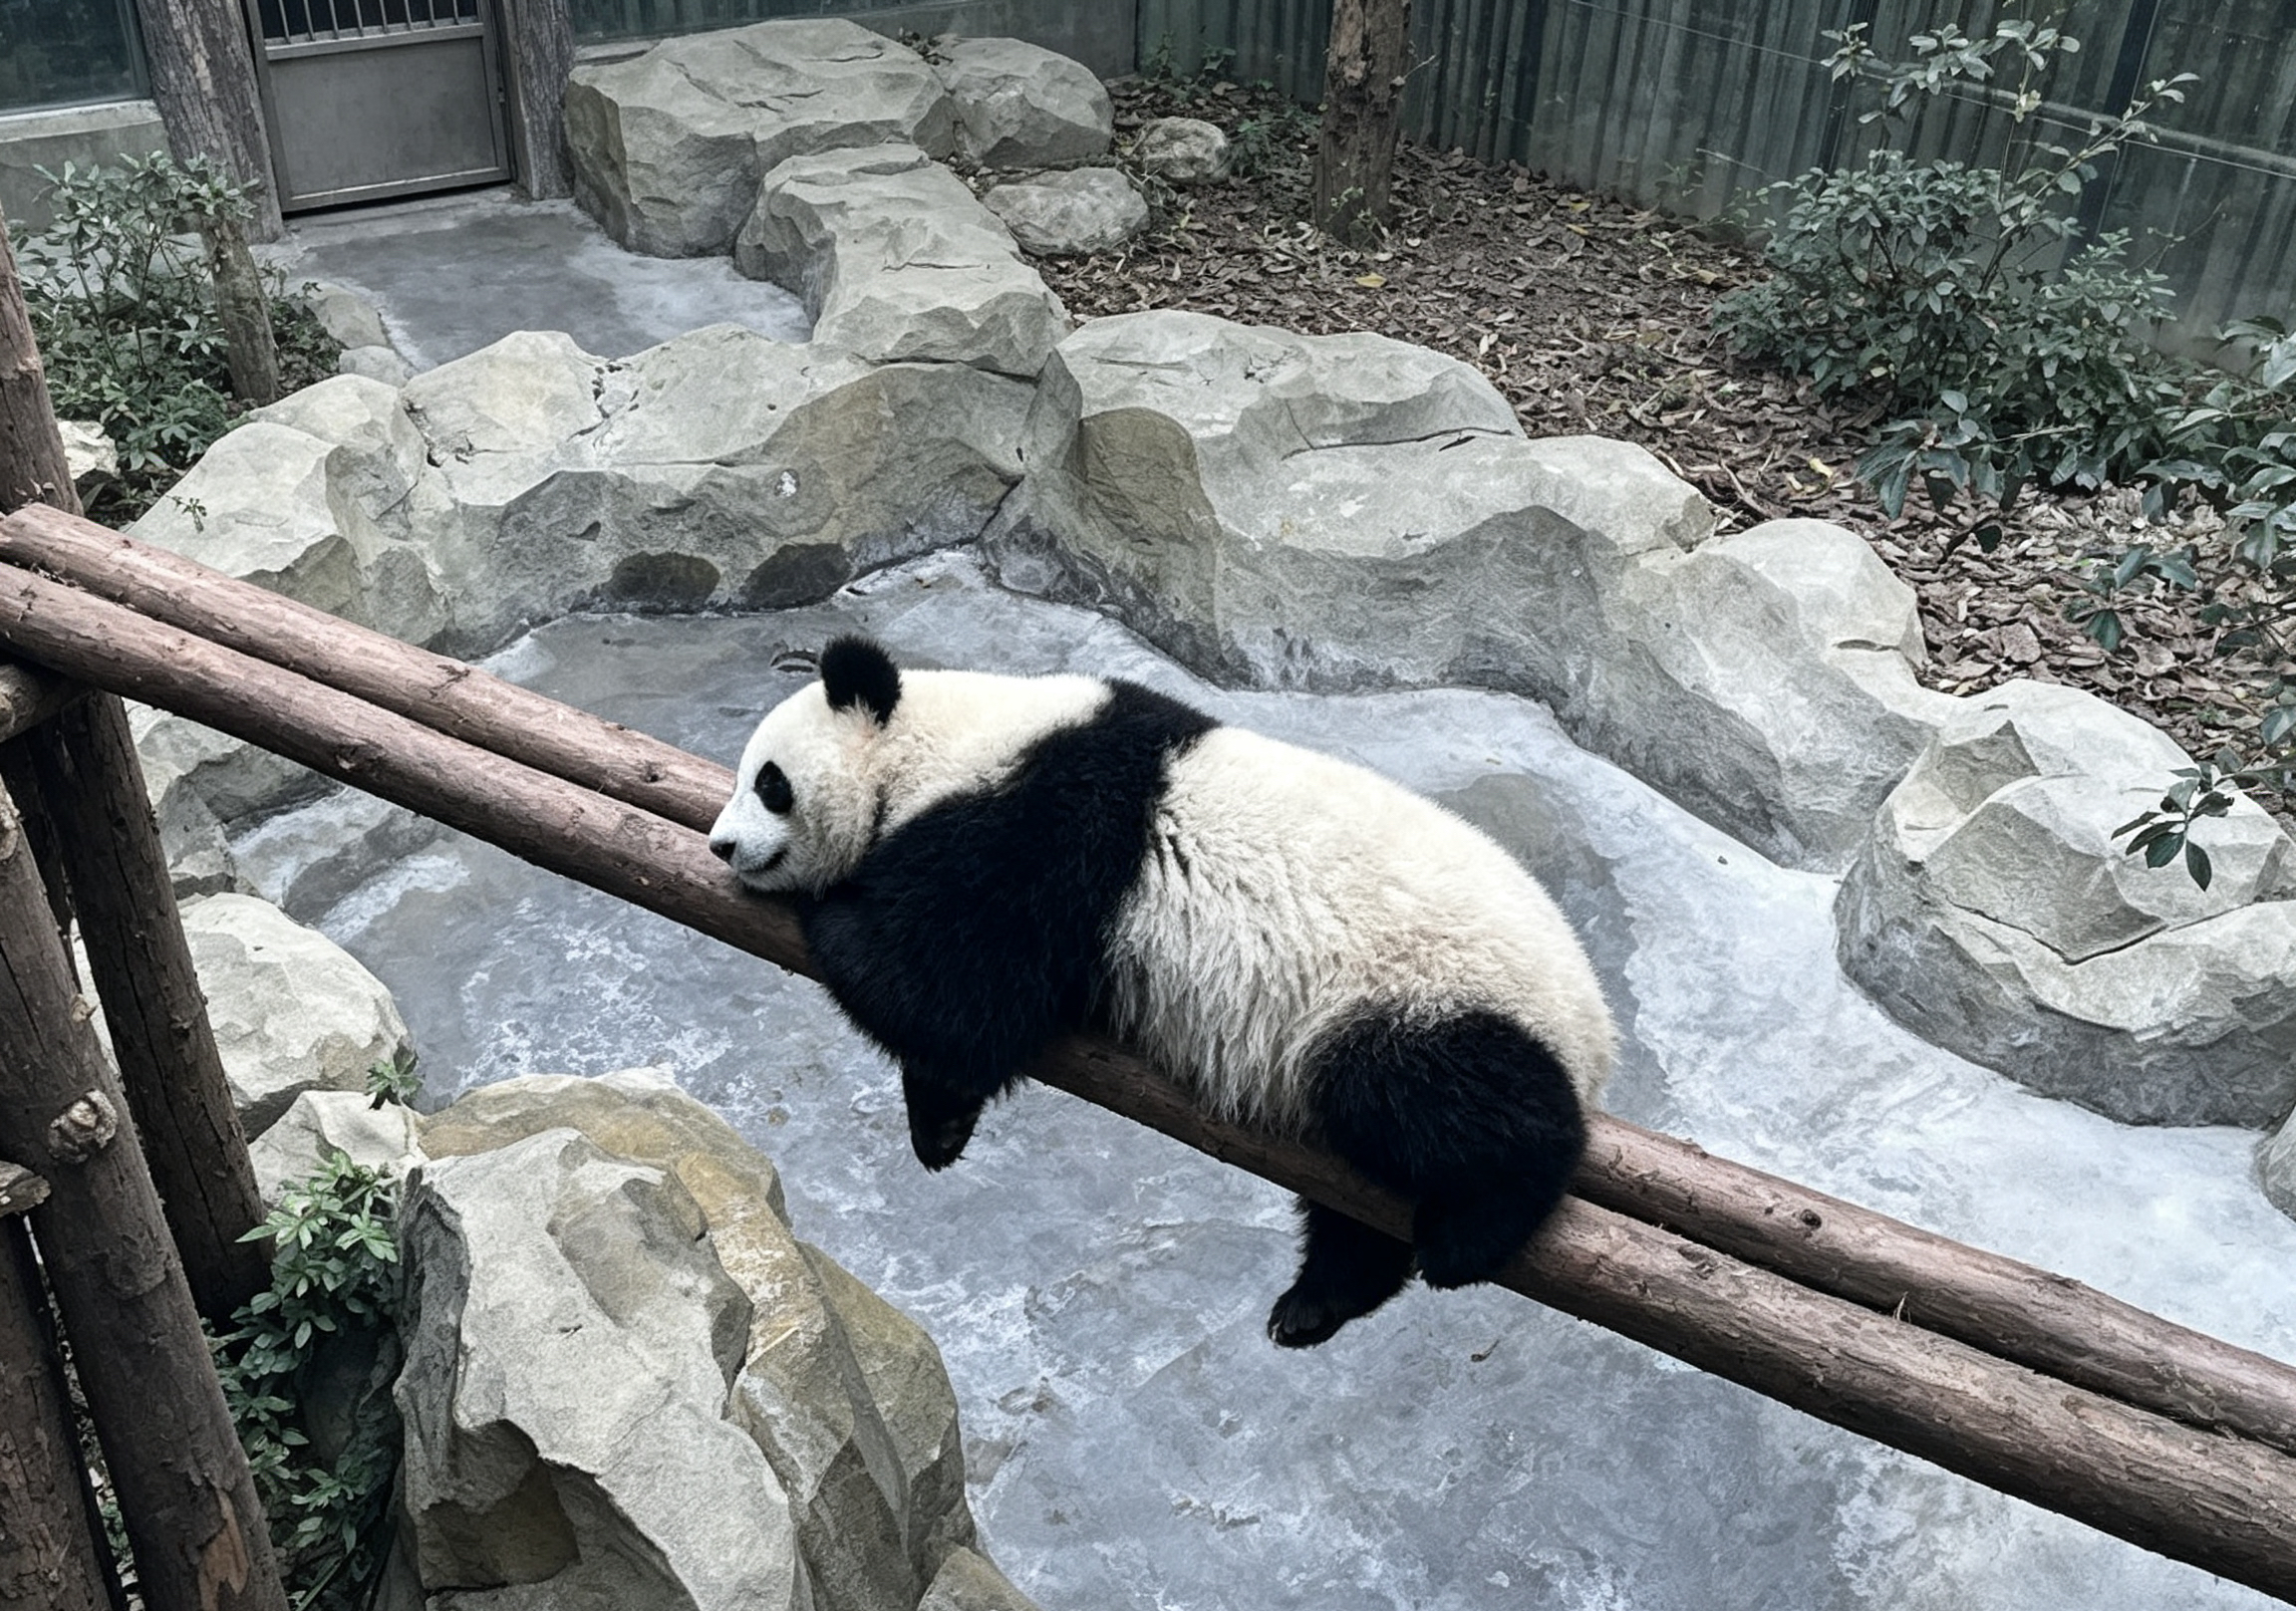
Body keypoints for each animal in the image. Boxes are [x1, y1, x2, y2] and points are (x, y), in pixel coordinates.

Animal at [709, 636, 1614, 1348]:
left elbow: (956, 991)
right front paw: (940, 1126)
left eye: (769, 781)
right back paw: (1316, 1301)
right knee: (1362, 1190)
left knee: (1437, 1100)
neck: (945, 738)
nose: (721, 845)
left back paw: (1473, 1232)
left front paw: (832, 909)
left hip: (1424, 993)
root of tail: (1594, 1036)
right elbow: (959, 1025)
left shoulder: (1041, 827)